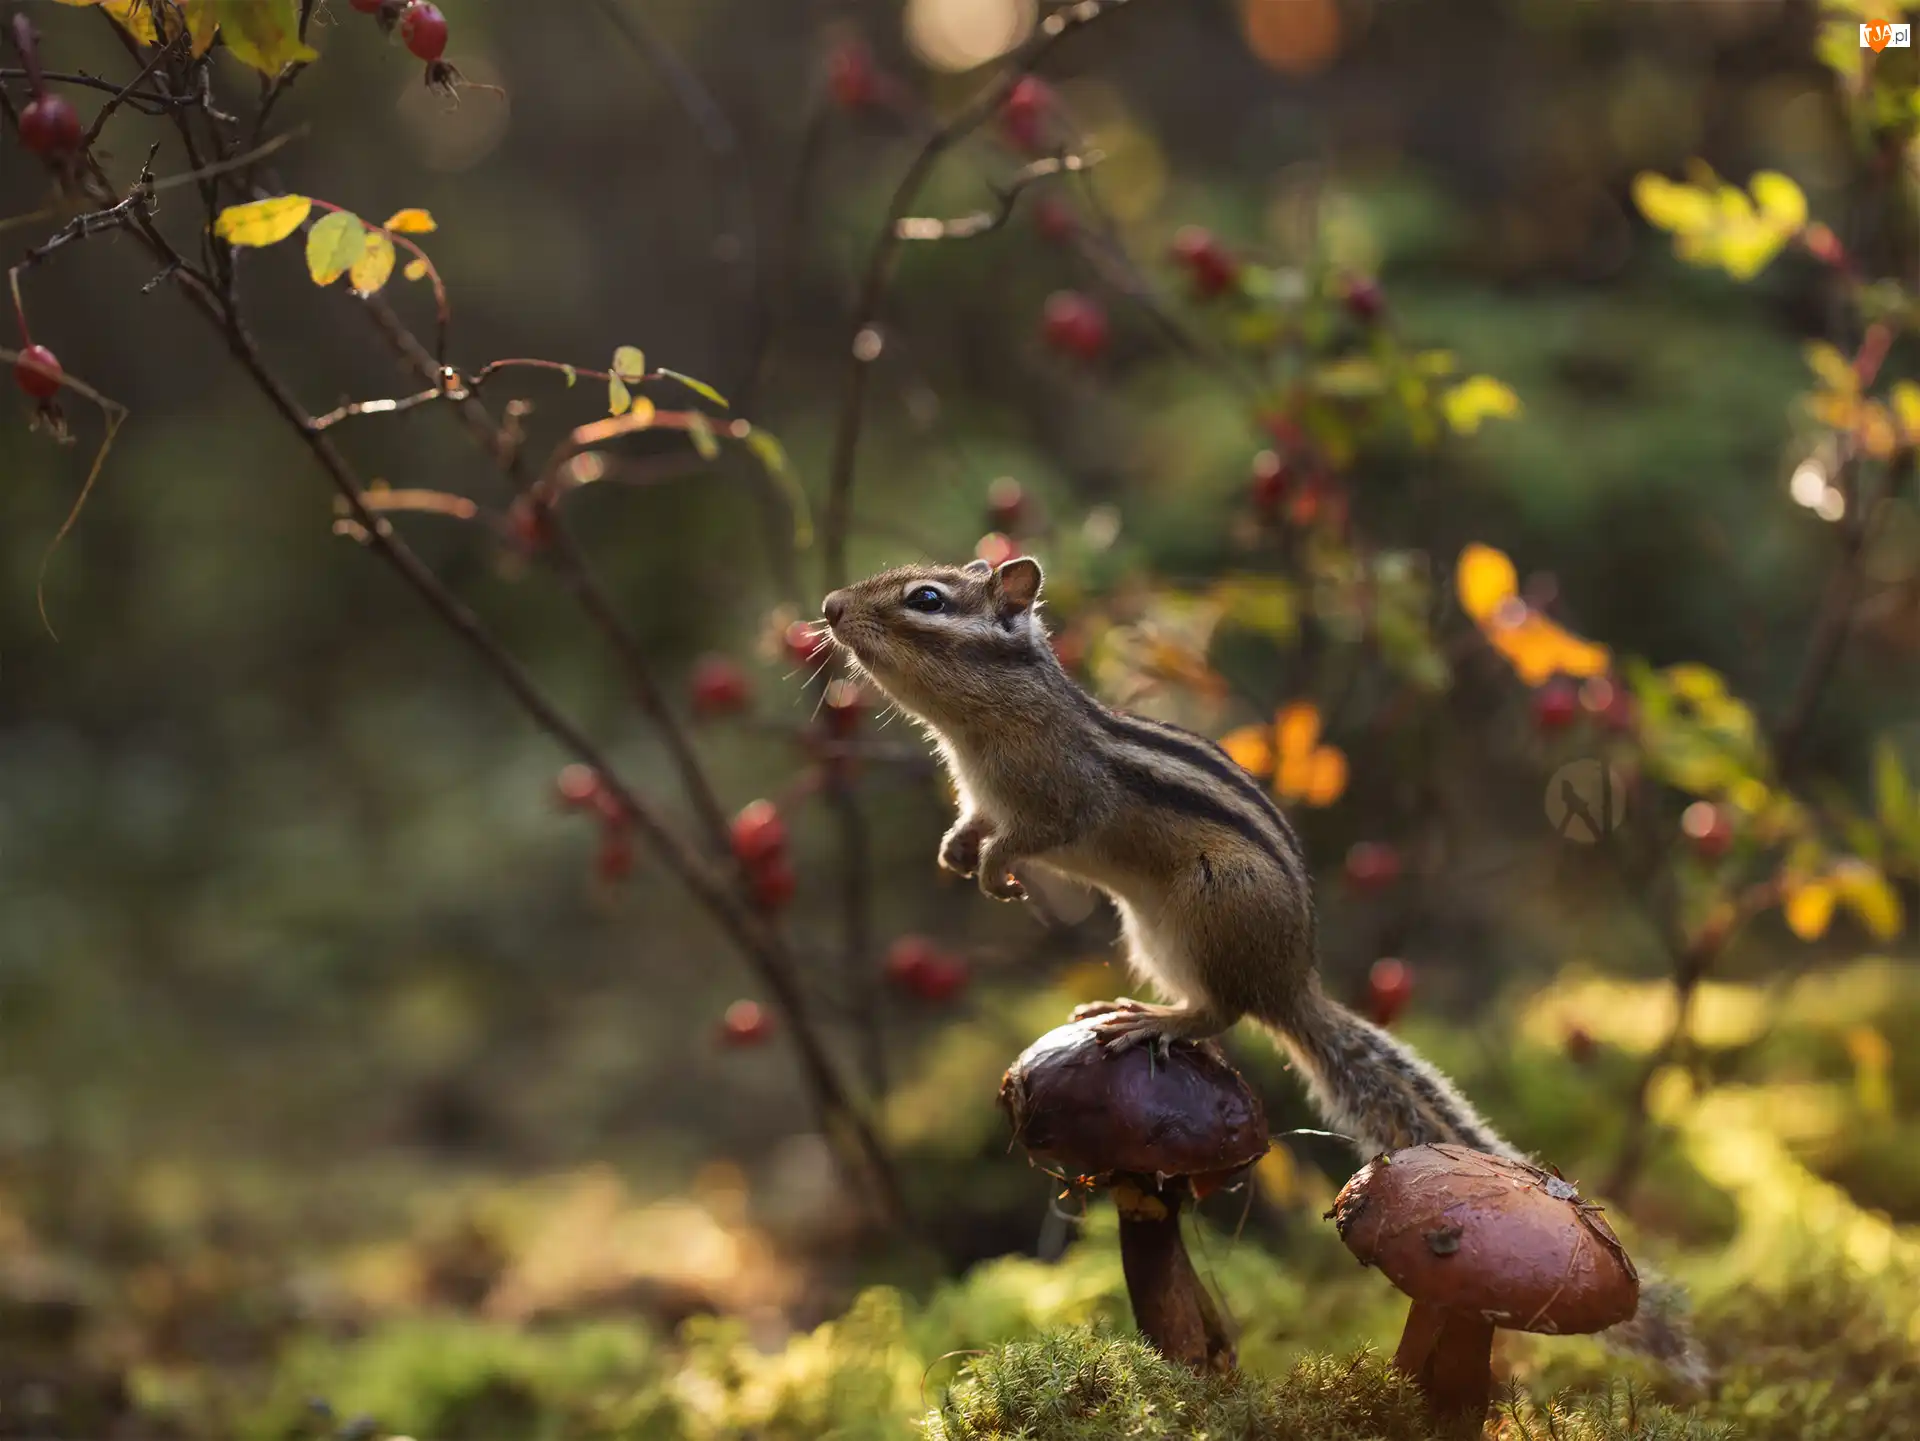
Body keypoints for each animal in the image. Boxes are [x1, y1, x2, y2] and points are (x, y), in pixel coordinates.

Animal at [822, 554, 1705, 1385]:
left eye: (926, 599)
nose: (829, 608)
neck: (980, 721)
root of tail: (1292, 977)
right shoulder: (982, 796)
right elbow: (976, 823)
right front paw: (960, 852)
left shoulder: (1059, 796)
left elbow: (1036, 832)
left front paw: (997, 866)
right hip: (1150, 932)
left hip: (1211, 905)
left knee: (1224, 1009)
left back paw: (1151, 1018)